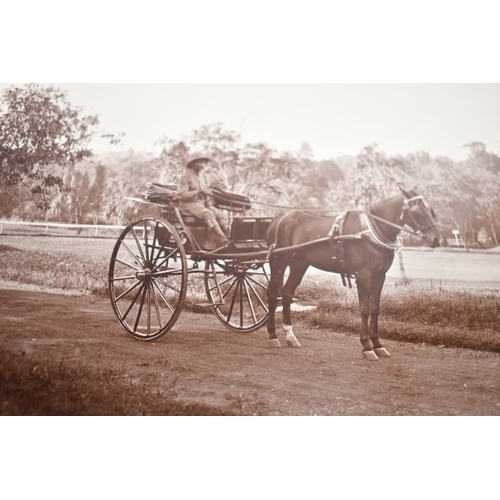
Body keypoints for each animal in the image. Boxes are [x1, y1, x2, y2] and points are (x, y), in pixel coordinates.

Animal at [266, 188, 442, 360]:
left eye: (430, 210)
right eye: (416, 210)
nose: (437, 239)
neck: (370, 231)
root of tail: (280, 218)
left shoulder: (379, 276)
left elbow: (375, 309)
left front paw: (378, 345)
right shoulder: (363, 275)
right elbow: (364, 309)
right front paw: (366, 346)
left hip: (299, 265)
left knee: (287, 293)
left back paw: (290, 336)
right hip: (278, 264)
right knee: (273, 294)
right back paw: (273, 336)